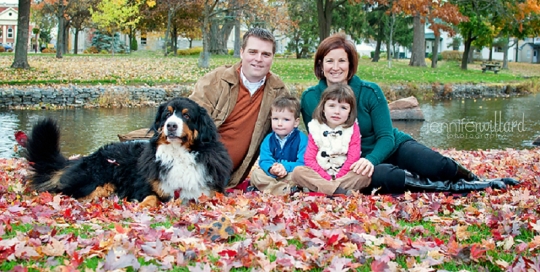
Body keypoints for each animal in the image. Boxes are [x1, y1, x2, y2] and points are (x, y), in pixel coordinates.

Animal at [24, 97, 233, 206]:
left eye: (187, 116)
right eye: (167, 114)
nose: (171, 125)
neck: (178, 154)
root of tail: (88, 157)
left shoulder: (208, 192)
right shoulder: (145, 187)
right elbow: (150, 198)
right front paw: (144, 206)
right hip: (97, 182)